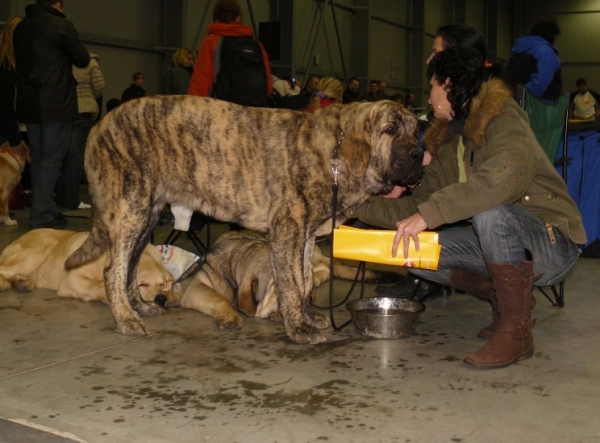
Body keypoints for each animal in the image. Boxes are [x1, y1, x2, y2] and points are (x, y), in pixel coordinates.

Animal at [0, 229, 180, 308]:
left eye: (161, 284)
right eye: (142, 284)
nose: (160, 299)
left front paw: (171, 295)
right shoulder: (72, 280)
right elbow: (97, 284)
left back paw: (23, 282)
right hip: (39, 248)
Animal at [65, 97, 422, 346]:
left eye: (414, 130)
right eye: (389, 130)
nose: (420, 155)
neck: (335, 152)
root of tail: (99, 126)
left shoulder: (305, 236)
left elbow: (305, 280)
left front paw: (308, 317)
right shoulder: (288, 232)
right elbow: (293, 284)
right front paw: (298, 327)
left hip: (146, 216)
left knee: (129, 266)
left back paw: (139, 306)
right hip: (132, 208)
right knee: (113, 269)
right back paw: (125, 318)